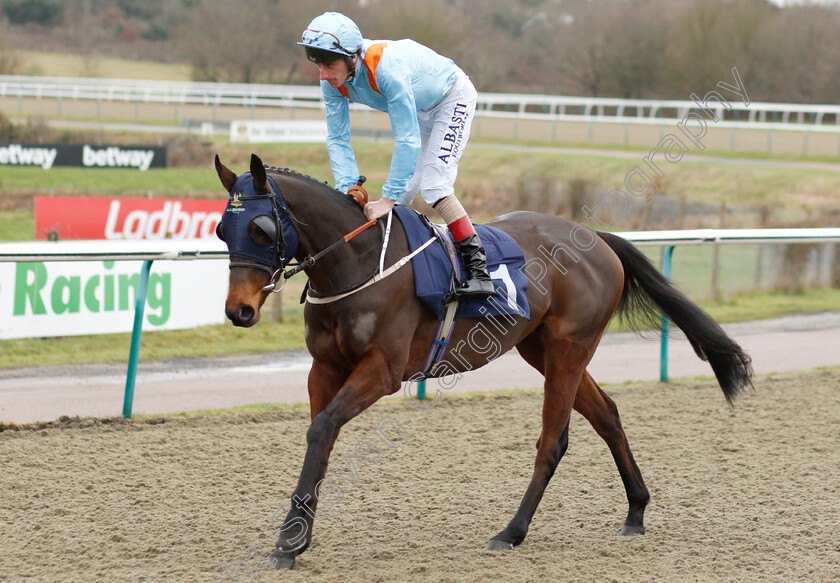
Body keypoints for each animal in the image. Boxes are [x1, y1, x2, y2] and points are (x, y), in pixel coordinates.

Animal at [213, 154, 752, 572]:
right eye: (222, 229)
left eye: (260, 228)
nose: (239, 311)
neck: (357, 263)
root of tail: (597, 238)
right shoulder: (323, 368)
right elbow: (319, 438)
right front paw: (295, 539)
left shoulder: (382, 371)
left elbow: (323, 428)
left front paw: (288, 542)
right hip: (541, 350)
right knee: (607, 415)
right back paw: (636, 512)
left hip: (569, 349)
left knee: (553, 440)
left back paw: (511, 531)